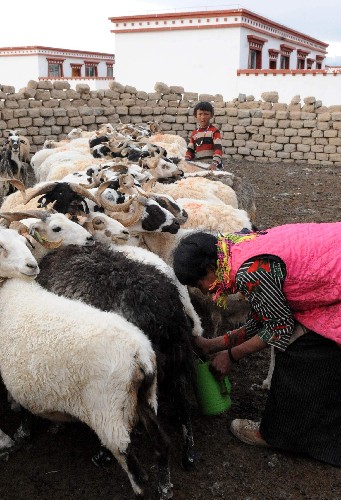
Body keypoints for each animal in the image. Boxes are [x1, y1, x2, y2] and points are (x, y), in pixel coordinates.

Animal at [0, 280, 173, 498]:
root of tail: (139, 355)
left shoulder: (18, 380)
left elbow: (23, 411)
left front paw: (21, 435)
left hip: (107, 409)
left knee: (133, 466)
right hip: (144, 397)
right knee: (162, 443)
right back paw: (165, 488)